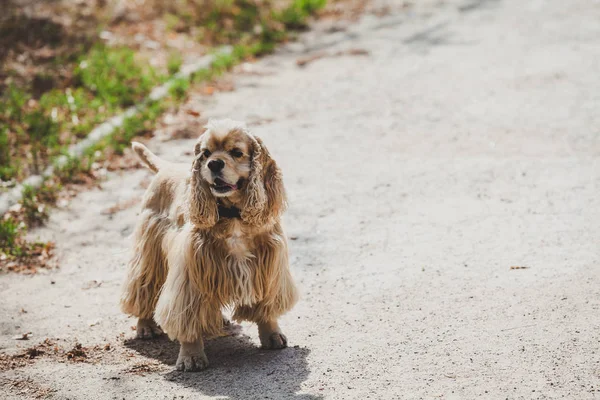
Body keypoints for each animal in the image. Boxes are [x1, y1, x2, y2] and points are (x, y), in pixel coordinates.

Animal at [120, 119, 298, 372]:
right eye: (205, 154)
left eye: (237, 152)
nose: (214, 163)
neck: (233, 215)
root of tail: (166, 168)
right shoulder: (191, 270)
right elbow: (187, 318)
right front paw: (191, 356)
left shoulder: (268, 262)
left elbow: (266, 304)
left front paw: (271, 333)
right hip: (149, 245)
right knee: (143, 285)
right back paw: (145, 325)